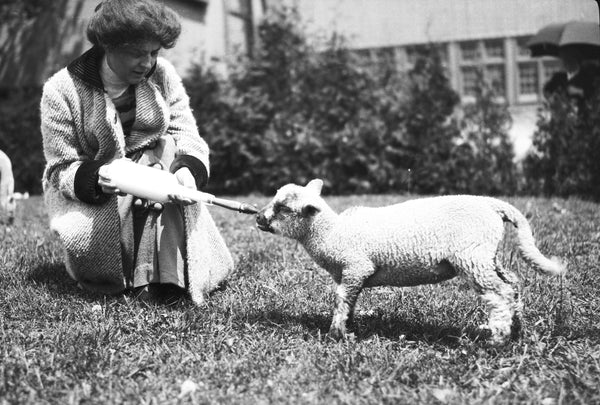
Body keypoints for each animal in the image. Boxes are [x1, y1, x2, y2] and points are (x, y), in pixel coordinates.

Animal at [255, 179, 564, 344]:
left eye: (282, 208)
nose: (258, 218)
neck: (332, 233)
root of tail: (492, 204)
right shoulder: (352, 274)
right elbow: (349, 301)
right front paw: (347, 329)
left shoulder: (356, 267)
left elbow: (342, 301)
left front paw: (337, 334)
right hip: (487, 254)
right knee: (512, 284)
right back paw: (517, 328)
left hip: (472, 255)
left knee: (499, 293)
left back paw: (497, 339)